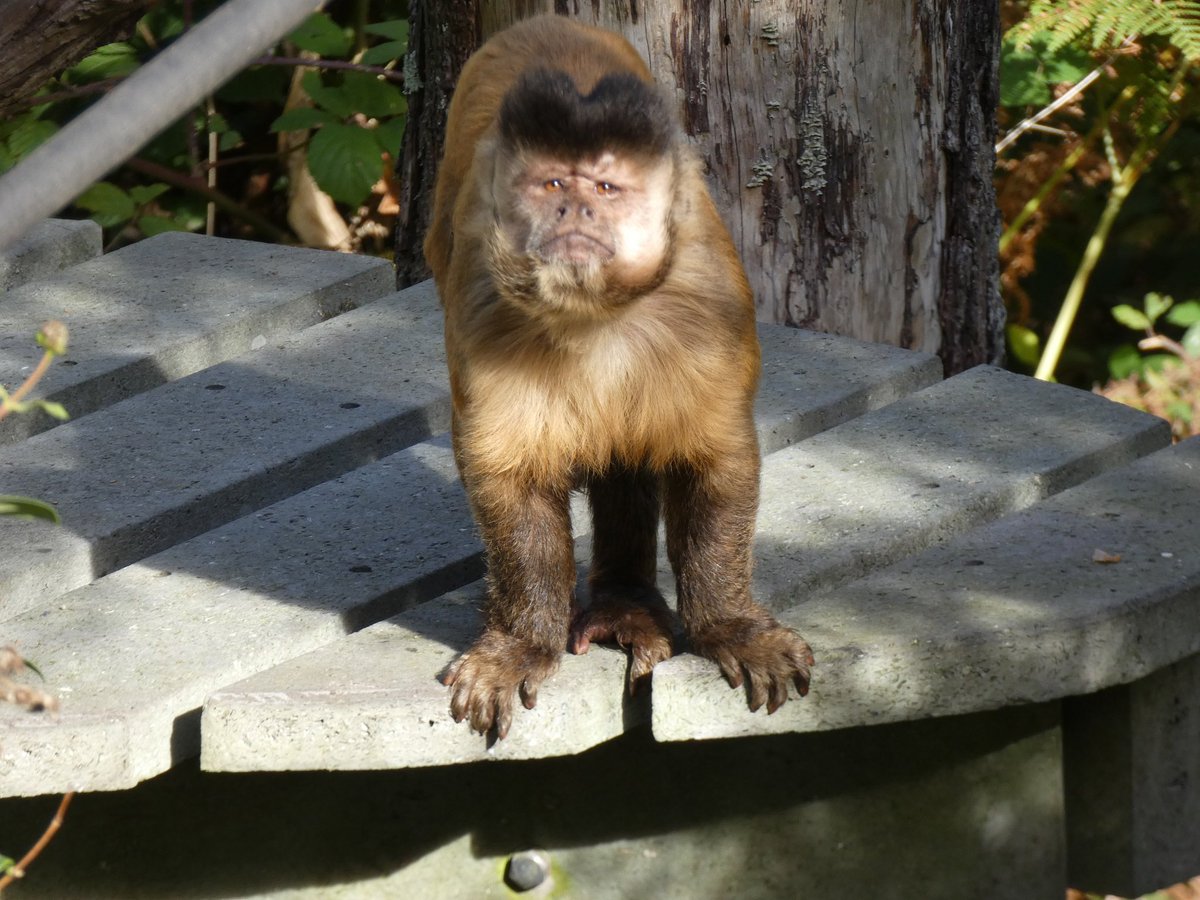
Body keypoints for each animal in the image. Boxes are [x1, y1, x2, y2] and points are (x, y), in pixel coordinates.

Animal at [424, 15, 813, 739]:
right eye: (552, 186)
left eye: (604, 189)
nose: (574, 213)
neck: (591, 315)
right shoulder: (482, 310)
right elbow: (507, 476)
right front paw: (521, 642)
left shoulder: (710, 315)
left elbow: (715, 461)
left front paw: (730, 626)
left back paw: (624, 603)